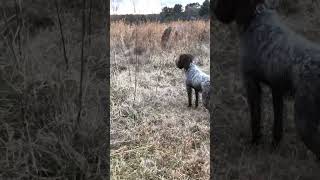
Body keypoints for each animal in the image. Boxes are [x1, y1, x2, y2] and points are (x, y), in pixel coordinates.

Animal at [214, 0, 320, 158]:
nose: (215, 11)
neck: (256, 17)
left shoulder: (251, 81)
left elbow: (256, 118)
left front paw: (255, 143)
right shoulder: (276, 89)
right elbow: (277, 123)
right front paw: (274, 145)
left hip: (304, 122)